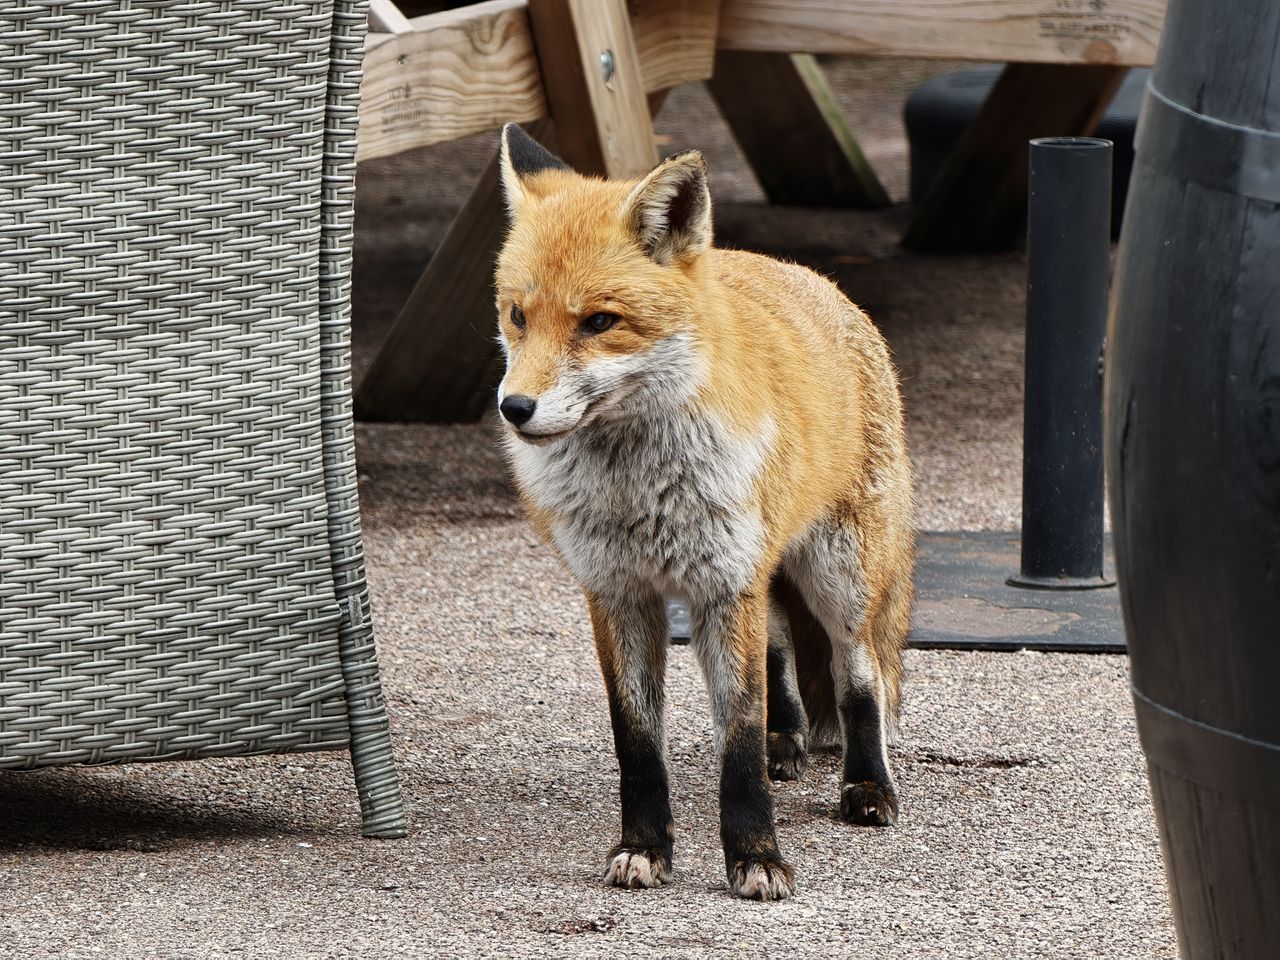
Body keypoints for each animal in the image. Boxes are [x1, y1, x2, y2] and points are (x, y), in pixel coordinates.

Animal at [493, 123, 915, 901]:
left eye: (599, 322)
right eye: (517, 316)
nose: (515, 408)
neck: (636, 489)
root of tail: (817, 279)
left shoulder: (725, 582)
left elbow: (738, 741)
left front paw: (756, 856)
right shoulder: (618, 592)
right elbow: (637, 741)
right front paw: (643, 847)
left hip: (839, 575)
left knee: (860, 675)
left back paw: (867, 785)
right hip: (764, 572)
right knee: (780, 649)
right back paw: (790, 739)